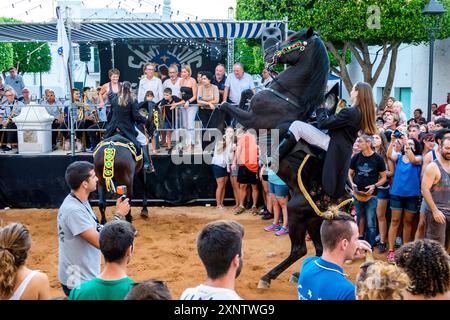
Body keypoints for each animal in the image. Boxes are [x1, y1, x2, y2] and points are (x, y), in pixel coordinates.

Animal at [220, 27, 350, 288]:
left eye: (292, 39)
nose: (269, 52)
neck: (288, 97)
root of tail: (332, 201)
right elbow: (237, 100)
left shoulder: (253, 118)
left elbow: (225, 106)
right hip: (313, 220)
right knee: (319, 249)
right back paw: (299, 274)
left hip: (296, 212)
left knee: (300, 249)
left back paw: (268, 277)